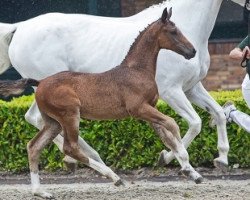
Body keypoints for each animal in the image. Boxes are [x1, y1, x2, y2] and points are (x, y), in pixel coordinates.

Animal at [0, 7, 203, 198]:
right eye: (173, 31)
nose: (192, 51)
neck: (137, 71)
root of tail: (40, 82)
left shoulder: (149, 110)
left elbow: (167, 137)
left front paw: (192, 173)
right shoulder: (140, 109)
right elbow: (173, 124)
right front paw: (186, 165)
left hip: (53, 122)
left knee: (34, 147)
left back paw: (41, 192)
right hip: (70, 115)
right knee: (70, 147)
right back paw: (114, 177)